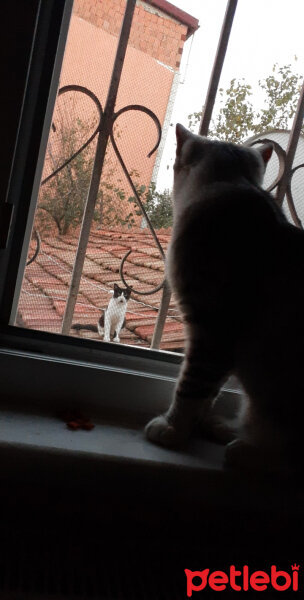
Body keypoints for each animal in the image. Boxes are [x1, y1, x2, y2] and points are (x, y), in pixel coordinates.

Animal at [144, 120, 304, 468]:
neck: (232, 184)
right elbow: (210, 389)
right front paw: (196, 424)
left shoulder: (212, 328)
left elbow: (193, 385)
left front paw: (174, 429)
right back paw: (227, 429)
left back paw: (245, 450)